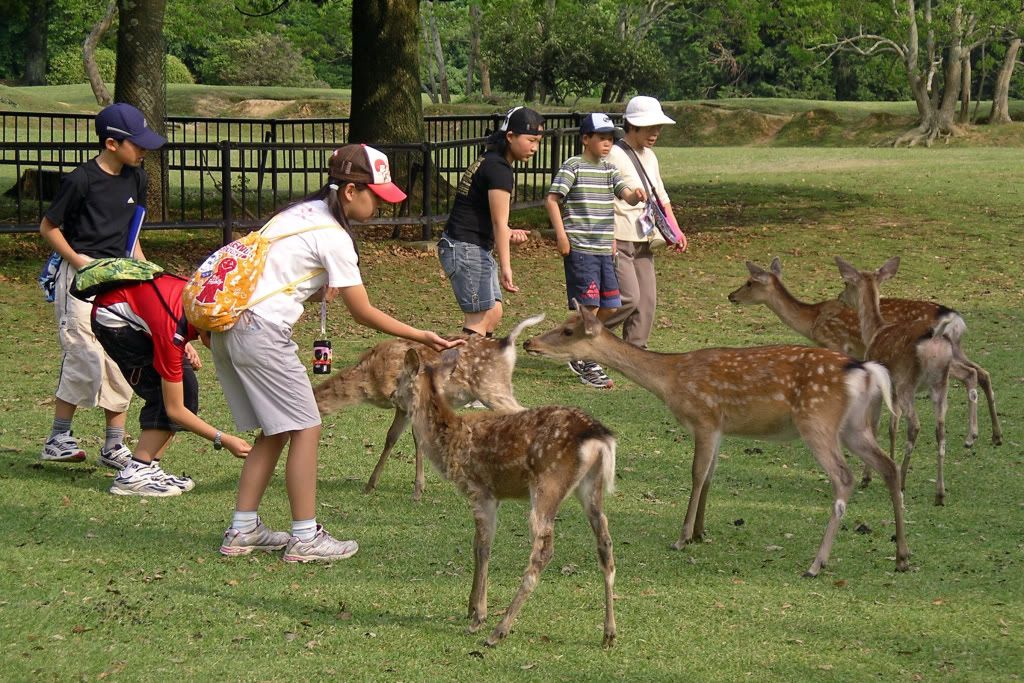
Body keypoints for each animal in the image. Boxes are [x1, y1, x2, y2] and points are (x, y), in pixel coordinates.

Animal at [315, 315, 544, 501]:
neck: (369, 380)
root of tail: (507, 343)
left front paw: (418, 490)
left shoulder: (410, 401)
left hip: (492, 388)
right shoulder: (402, 407)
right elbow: (391, 437)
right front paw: (370, 485)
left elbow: (418, 438)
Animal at [391, 348, 614, 647]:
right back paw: (609, 633)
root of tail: (598, 436)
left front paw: (478, 616)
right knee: (605, 545)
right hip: (591, 488)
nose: (392, 395)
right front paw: (470, 606)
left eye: (399, 378)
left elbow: (483, 548)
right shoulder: (490, 497)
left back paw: (499, 630)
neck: (449, 442)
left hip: (548, 483)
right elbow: (477, 545)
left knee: (543, 551)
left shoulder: (480, 490)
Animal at [524, 307, 909, 581]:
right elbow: (710, 475)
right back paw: (902, 556)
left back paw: (817, 564)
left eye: (568, 330)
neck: (670, 381)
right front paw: (700, 532)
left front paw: (682, 537)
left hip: (817, 421)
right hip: (854, 427)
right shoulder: (721, 428)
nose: (529, 343)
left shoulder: (704, 418)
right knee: (888, 466)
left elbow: (696, 474)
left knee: (843, 477)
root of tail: (864, 370)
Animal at [729, 255, 999, 464]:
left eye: (749, 282)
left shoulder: (837, 344)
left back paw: (972, 437)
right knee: (982, 372)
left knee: (971, 374)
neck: (812, 321)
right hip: (957, 350)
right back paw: (993, 436)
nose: (731, 295)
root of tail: (954, 318)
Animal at [831, 259, 966, 505]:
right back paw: (940, 492)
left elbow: (875, 426)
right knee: (940, 430)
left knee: (915, 425)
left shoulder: (878, 386)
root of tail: (935, 338)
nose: (839, 296)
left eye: (846, 283)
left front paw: (867, 477)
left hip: (907, 382)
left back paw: (903, 481)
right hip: (940, 383)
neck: (874, 331)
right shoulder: (891, 390)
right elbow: (892, 427)